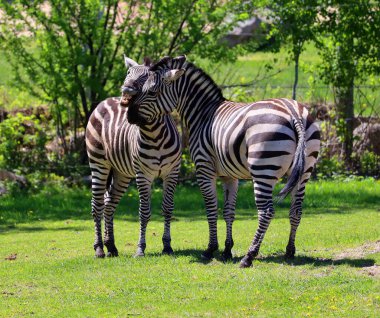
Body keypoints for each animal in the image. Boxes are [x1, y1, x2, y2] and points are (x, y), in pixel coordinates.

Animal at [86, 56, 181, 258]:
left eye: (145, 78)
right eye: (128, 73)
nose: (126, 89)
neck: (155, 135)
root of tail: (105, 100)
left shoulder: (172, 172)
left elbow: (168, 208)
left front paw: (167, 246)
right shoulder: (143, 174)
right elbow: (144, 211)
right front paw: (140, 248)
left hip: (121, 173)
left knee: (109, 203)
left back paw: (111, 246)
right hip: (98, 164)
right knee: (97, 204)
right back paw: (99, 248)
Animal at [121, 56, 320, 268]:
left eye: (151, 92)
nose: (129, 116)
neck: (202, 112)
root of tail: (293, 112)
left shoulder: (204, 168)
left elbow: (211, 208)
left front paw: (211, 249)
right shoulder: (229, 176)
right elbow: (228, 211)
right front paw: (227, 250)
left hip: (264, 170)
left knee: (266, 211)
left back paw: (249, 256)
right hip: (304, 171)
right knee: (296, 210)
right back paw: (289, 251)